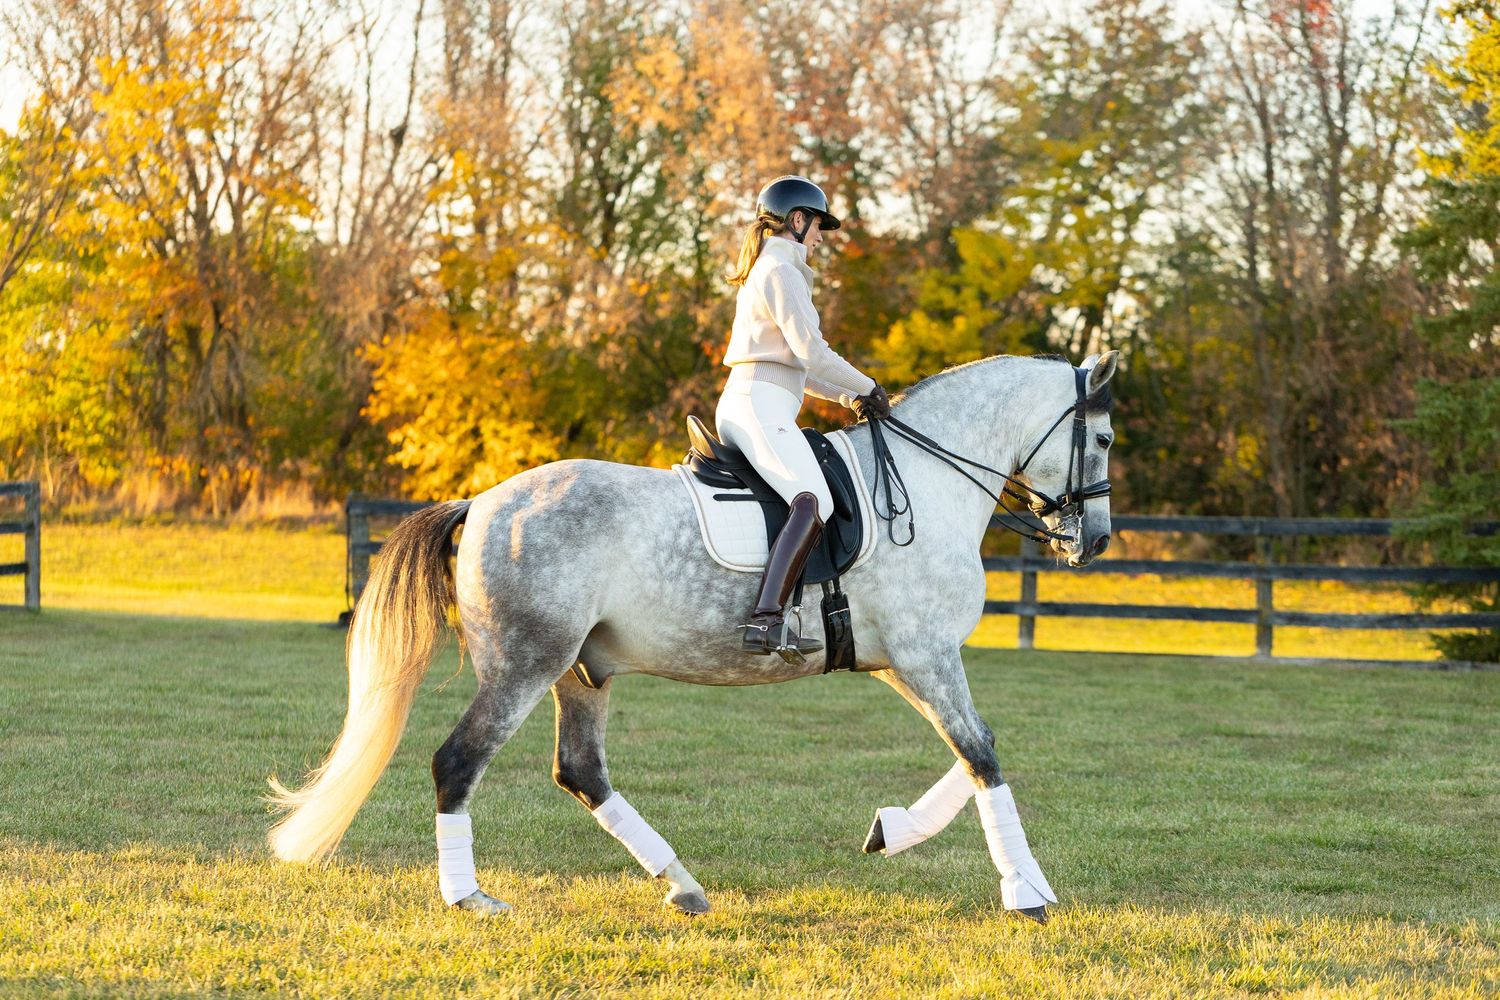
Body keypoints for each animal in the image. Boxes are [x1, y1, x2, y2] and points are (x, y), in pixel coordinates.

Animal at [268, 351, 1119, 924]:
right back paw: (469, 897)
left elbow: (973, 754)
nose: (1096, 541)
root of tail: (480, 503)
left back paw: (680, 883)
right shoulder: (925, 655)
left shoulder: (899, 660)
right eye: (1105, 440)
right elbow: (982, 754)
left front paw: (892, 831)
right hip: (525, 665)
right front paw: (1026, 891)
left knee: (580, 772)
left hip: (581, 671)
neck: (925, 480)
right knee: (458, 762)